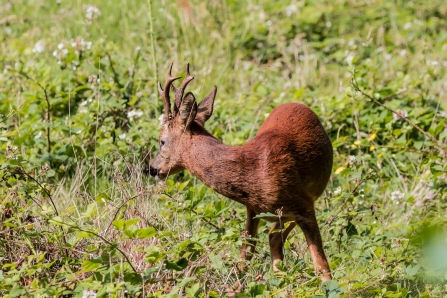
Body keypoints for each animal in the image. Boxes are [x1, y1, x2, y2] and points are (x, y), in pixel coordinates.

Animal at [150, 64, 332, 280]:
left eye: (161, 141)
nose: (152, 169)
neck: (254, 171)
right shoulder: (252, 209)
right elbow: (243, 259)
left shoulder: (304, 204)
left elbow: (322, 265)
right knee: (273, 237)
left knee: (276, 237)